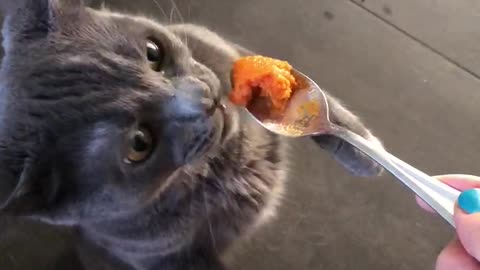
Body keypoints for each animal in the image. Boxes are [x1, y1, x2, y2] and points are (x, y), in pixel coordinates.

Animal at [0, 0, 382, 270]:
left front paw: (367, 153)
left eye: (153, 52)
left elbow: (327, 110)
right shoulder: (166, 258)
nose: (205, 99)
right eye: (139, 143)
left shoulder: (224, 48)